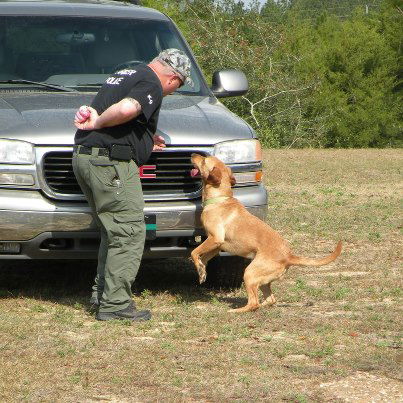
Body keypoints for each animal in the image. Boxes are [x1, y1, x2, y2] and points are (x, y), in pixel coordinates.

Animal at [191, 153, 342, 314]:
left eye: (204, 160)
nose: (193, 154)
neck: (220, 199)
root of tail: (288, 256)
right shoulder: (217, 246)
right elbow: (203, 258)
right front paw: (201, 271)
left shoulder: (215, 239)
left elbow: (194, 252)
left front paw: (199, 266)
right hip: (261, 279)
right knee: (269, 300)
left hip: (249, 273)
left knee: (254, 303)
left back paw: (236, 310)